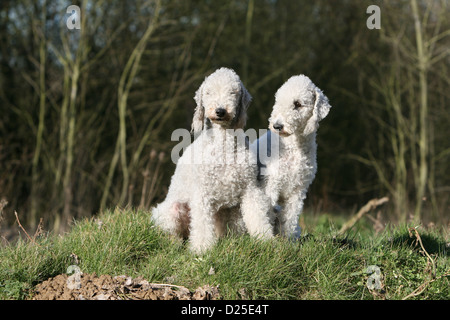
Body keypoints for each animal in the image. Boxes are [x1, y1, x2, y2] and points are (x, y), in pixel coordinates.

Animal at [151, 67, 272, 252]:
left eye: (233, 92)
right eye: (208, 92)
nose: (220, 111)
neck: (223, 146)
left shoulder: (250, 188)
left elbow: (257, 215)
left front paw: (266, 242)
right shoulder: (202, 194)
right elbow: (201, 225)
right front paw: (201, 249)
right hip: (171, 210)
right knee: (173, 232)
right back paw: (175, 244)